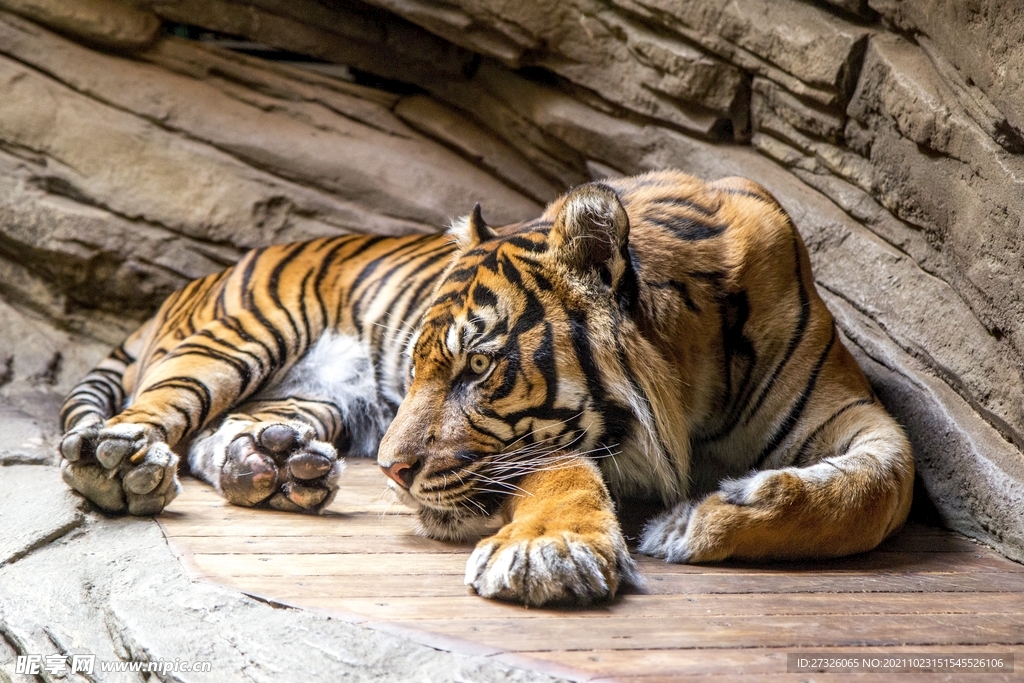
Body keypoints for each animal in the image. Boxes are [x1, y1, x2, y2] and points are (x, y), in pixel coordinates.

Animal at [59, 169, 914, 606]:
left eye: (477, 368)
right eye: (417, 368)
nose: (394, 474)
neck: (696, 377)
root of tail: (205, 274)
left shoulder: (859, 414)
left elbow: (876, 491)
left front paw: (705, 517)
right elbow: (560, 474)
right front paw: (551, 552)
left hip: (315, 396)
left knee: (223, 430)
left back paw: (274, 463)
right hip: (238, 334)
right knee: (155, 413)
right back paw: (117, 465)